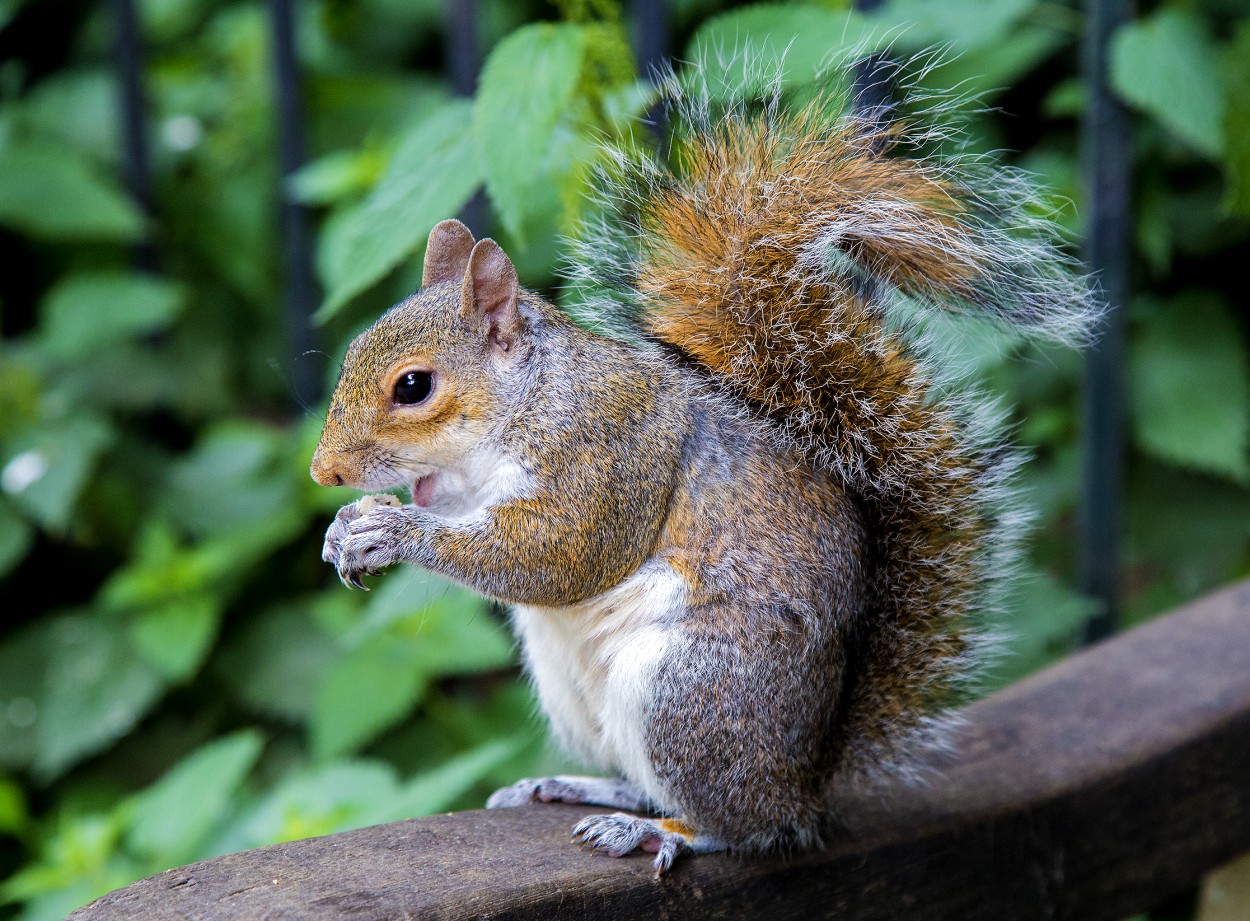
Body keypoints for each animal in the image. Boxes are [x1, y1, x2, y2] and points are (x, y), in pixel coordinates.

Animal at [310, 66, 1095, 874]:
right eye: (351, 351)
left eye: (413, 386)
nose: (323, 472)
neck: (521, 407)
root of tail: (806, 778)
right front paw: (350, 527)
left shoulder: (606, 456)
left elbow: (557, 554)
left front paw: (393, 532)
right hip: (579, 695)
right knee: (655, 785)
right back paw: (580, 788)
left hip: (689, 691)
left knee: (746, 825)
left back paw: (667, 831)